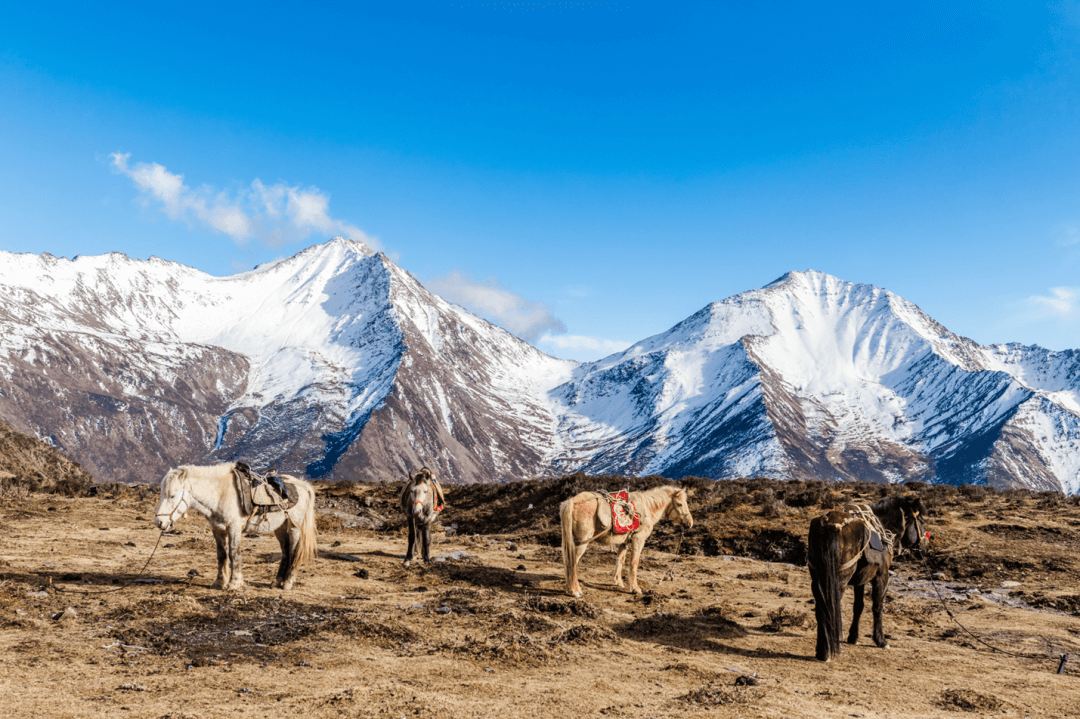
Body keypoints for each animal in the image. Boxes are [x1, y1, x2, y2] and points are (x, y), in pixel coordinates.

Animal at [154, 464, 317, 587]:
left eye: (172, 495)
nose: (159, 522)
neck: (220, 494)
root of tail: (303, 485)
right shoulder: (218, 529)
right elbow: (222, 554)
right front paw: (219, 582)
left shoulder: (234, 528)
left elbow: (234, 553)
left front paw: (234, 583)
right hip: (280, 529)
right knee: (285, 552)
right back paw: (277, 581)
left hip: (294, 527)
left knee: (294, 551)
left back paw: (288, 582)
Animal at [557, 483, 691, 595]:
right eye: (680, 504)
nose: (689, 523)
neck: (646, 509)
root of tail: (572, 501)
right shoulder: (638, 540)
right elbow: (633, 563)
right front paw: (635, 588)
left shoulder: (624, 542)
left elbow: (620, 560)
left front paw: (618, 582)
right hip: (581, 543)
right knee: (572, 562)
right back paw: (574, 590)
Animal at [812, 492, 928, 660]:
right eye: (921, 521)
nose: (925, 547)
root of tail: (828, 523)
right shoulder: (882, 575)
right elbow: (877, 606)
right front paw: (881, 640)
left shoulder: (860, 580)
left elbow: (858, 606)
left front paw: (853, 637)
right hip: (839, 580)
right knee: (828, 607)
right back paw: (825, 652)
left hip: (818, 578)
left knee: (821, 607)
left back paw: (821, 650)